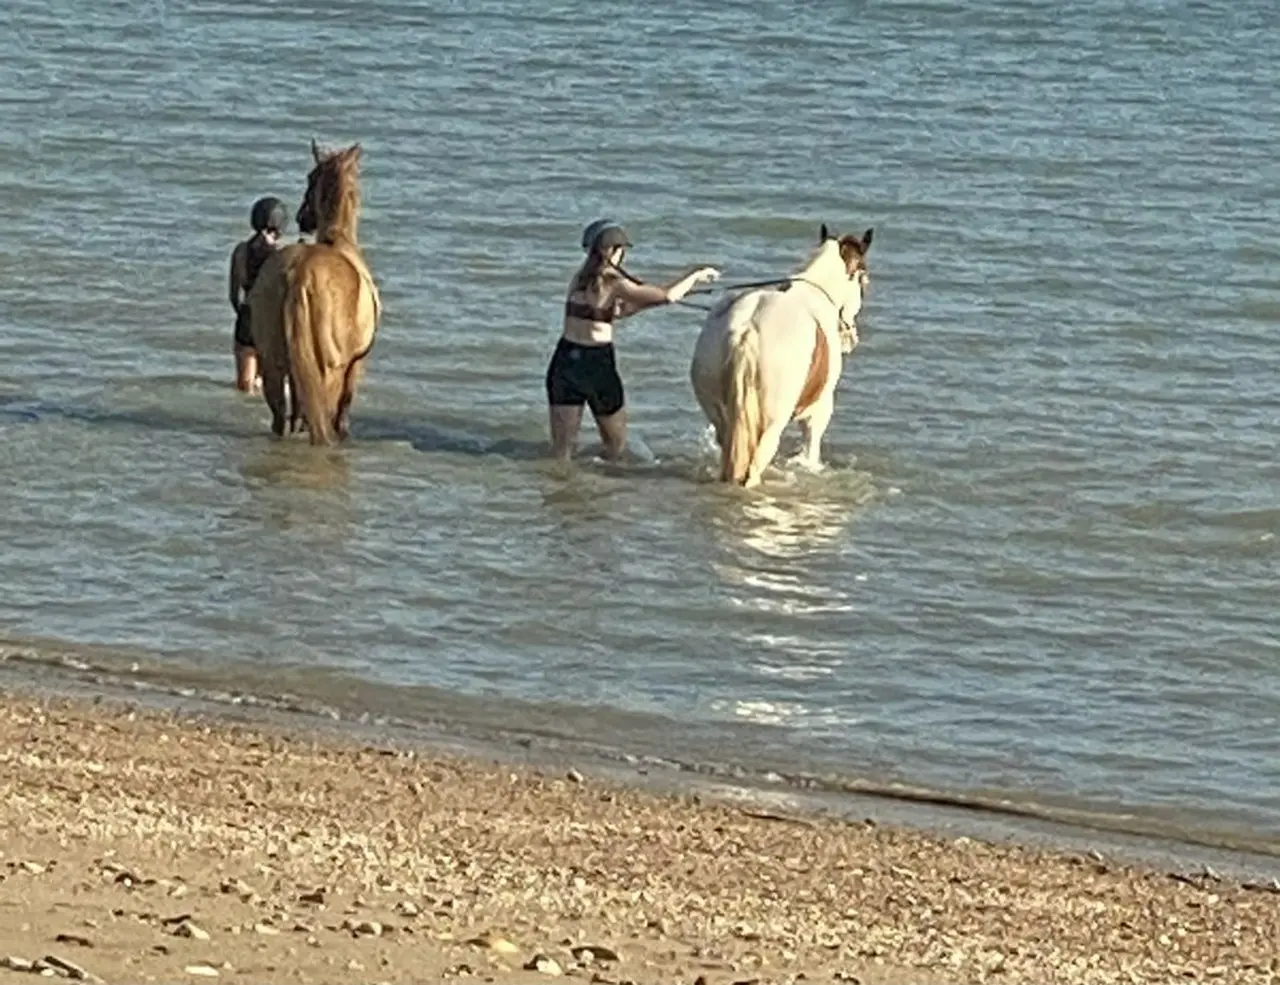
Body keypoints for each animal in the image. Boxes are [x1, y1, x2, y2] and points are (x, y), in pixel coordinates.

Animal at [245, 139, 378, 445]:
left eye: (310, 177)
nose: (302, 218)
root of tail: (298, 273)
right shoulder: (353, 366)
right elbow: (342, 411)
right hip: (330, 367)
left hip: (273, 363)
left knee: (280, 418)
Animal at [691, 220, 870, 486]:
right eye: (864, 278)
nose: (851, 338)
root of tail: (747, 330)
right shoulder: (819, 411)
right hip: (770, 427)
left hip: (722, 418)